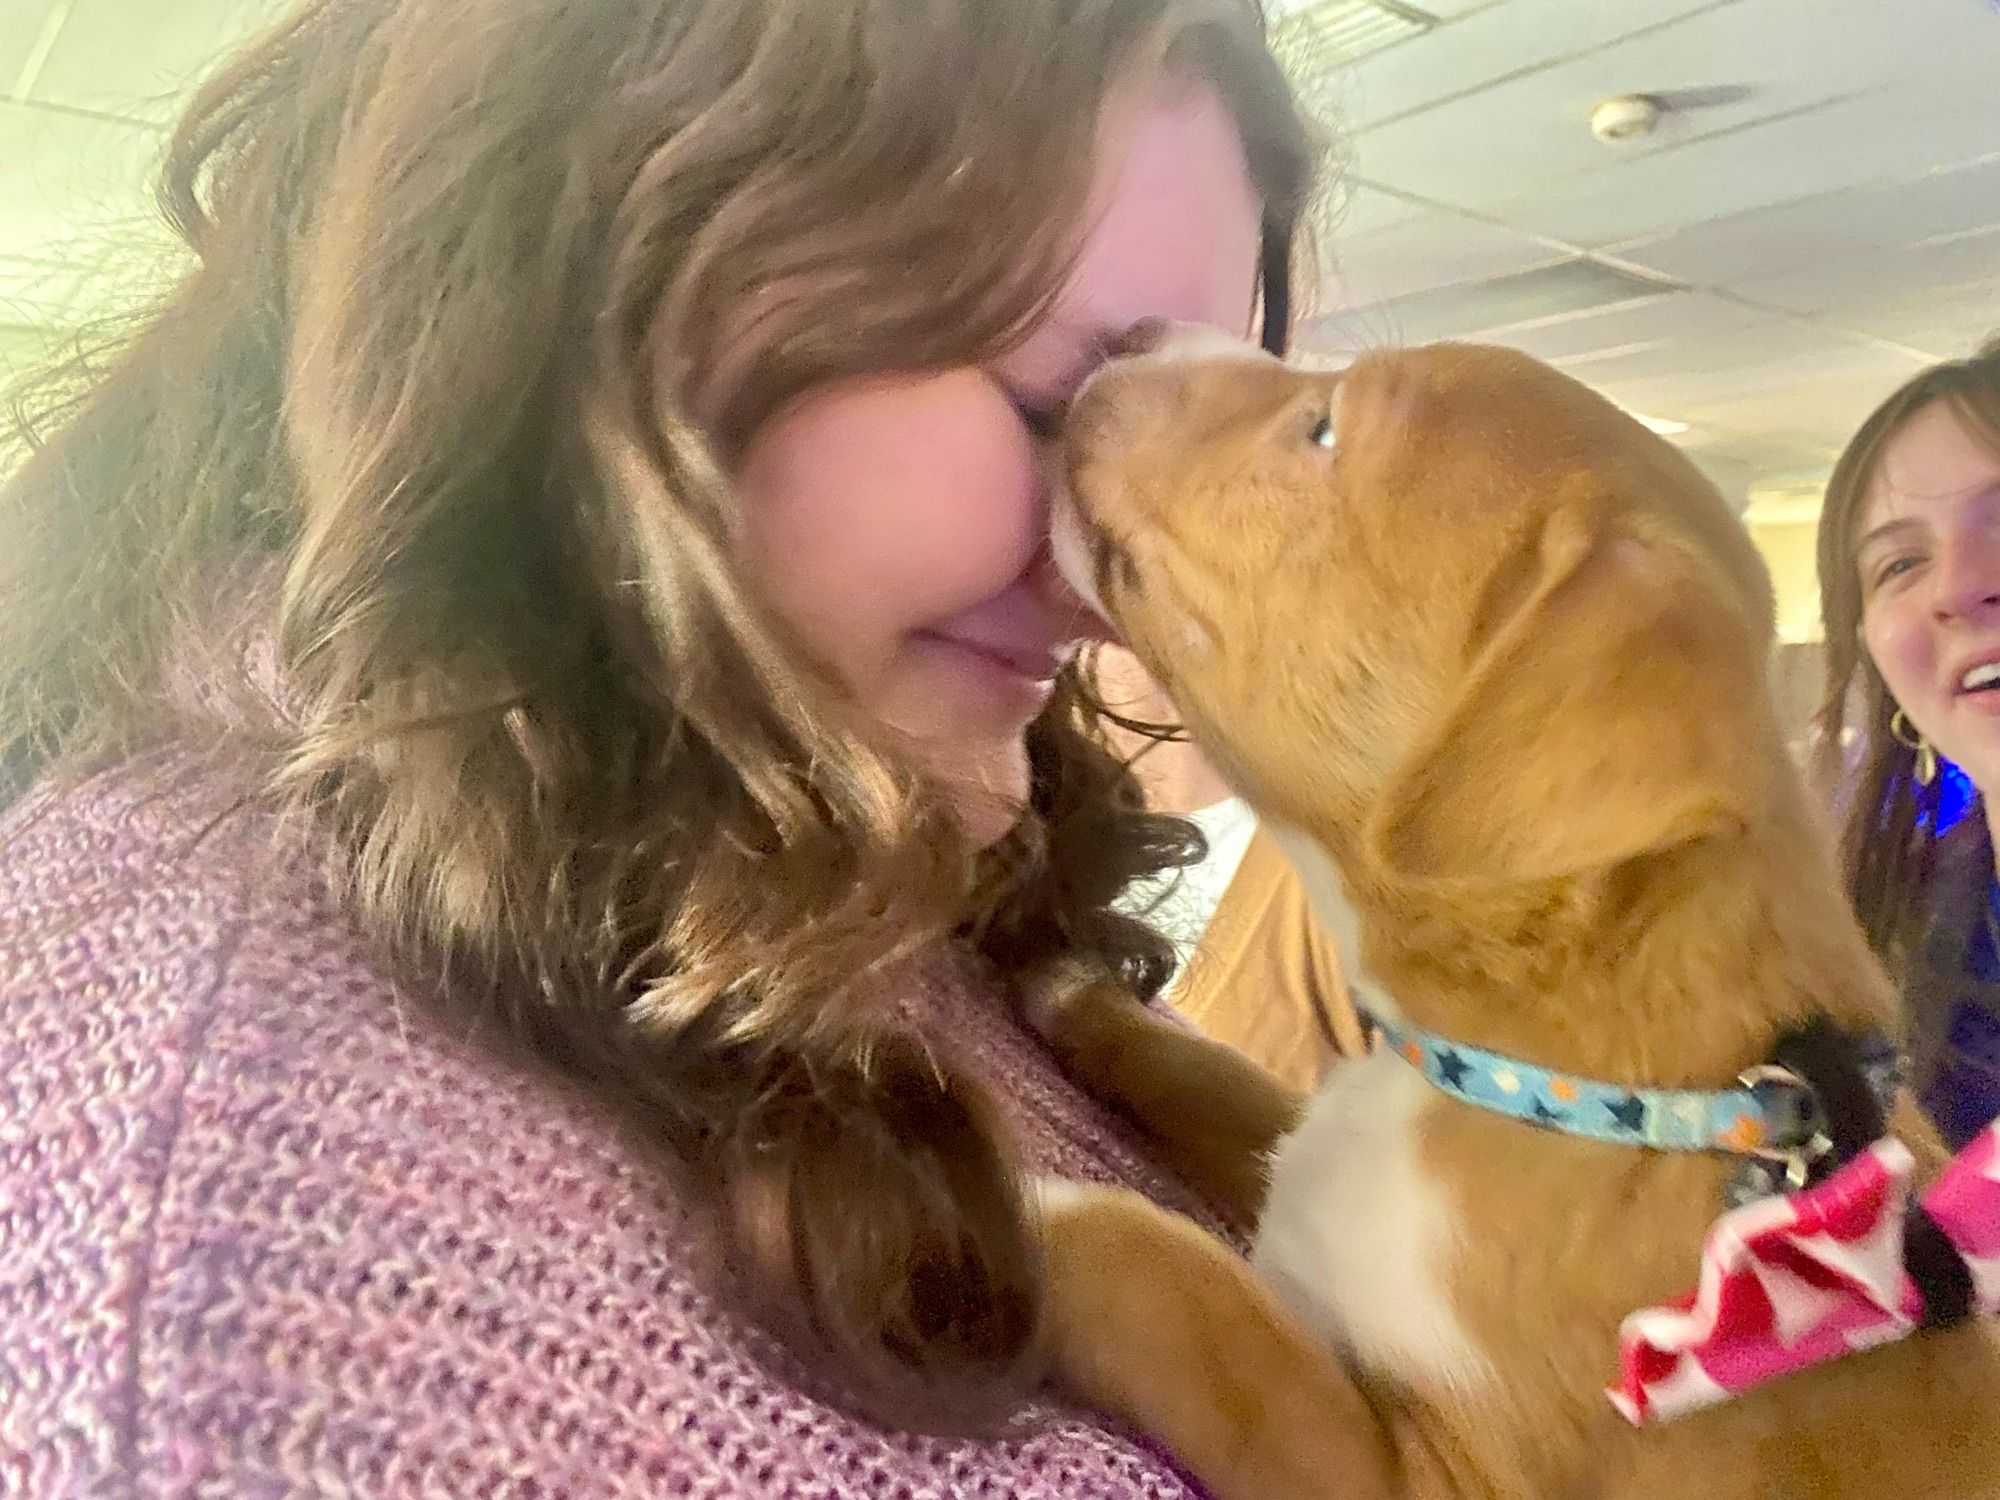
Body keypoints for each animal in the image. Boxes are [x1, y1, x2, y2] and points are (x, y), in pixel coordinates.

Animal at [1032, 340, 2000, 1500]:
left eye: (1322, 429)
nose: (1127, 334)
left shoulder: (1419, 1477)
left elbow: (1197, 1310)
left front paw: (1004, 1212)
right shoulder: (1303, 1171)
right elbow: (1218, 1084)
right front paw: (1083, 1003)